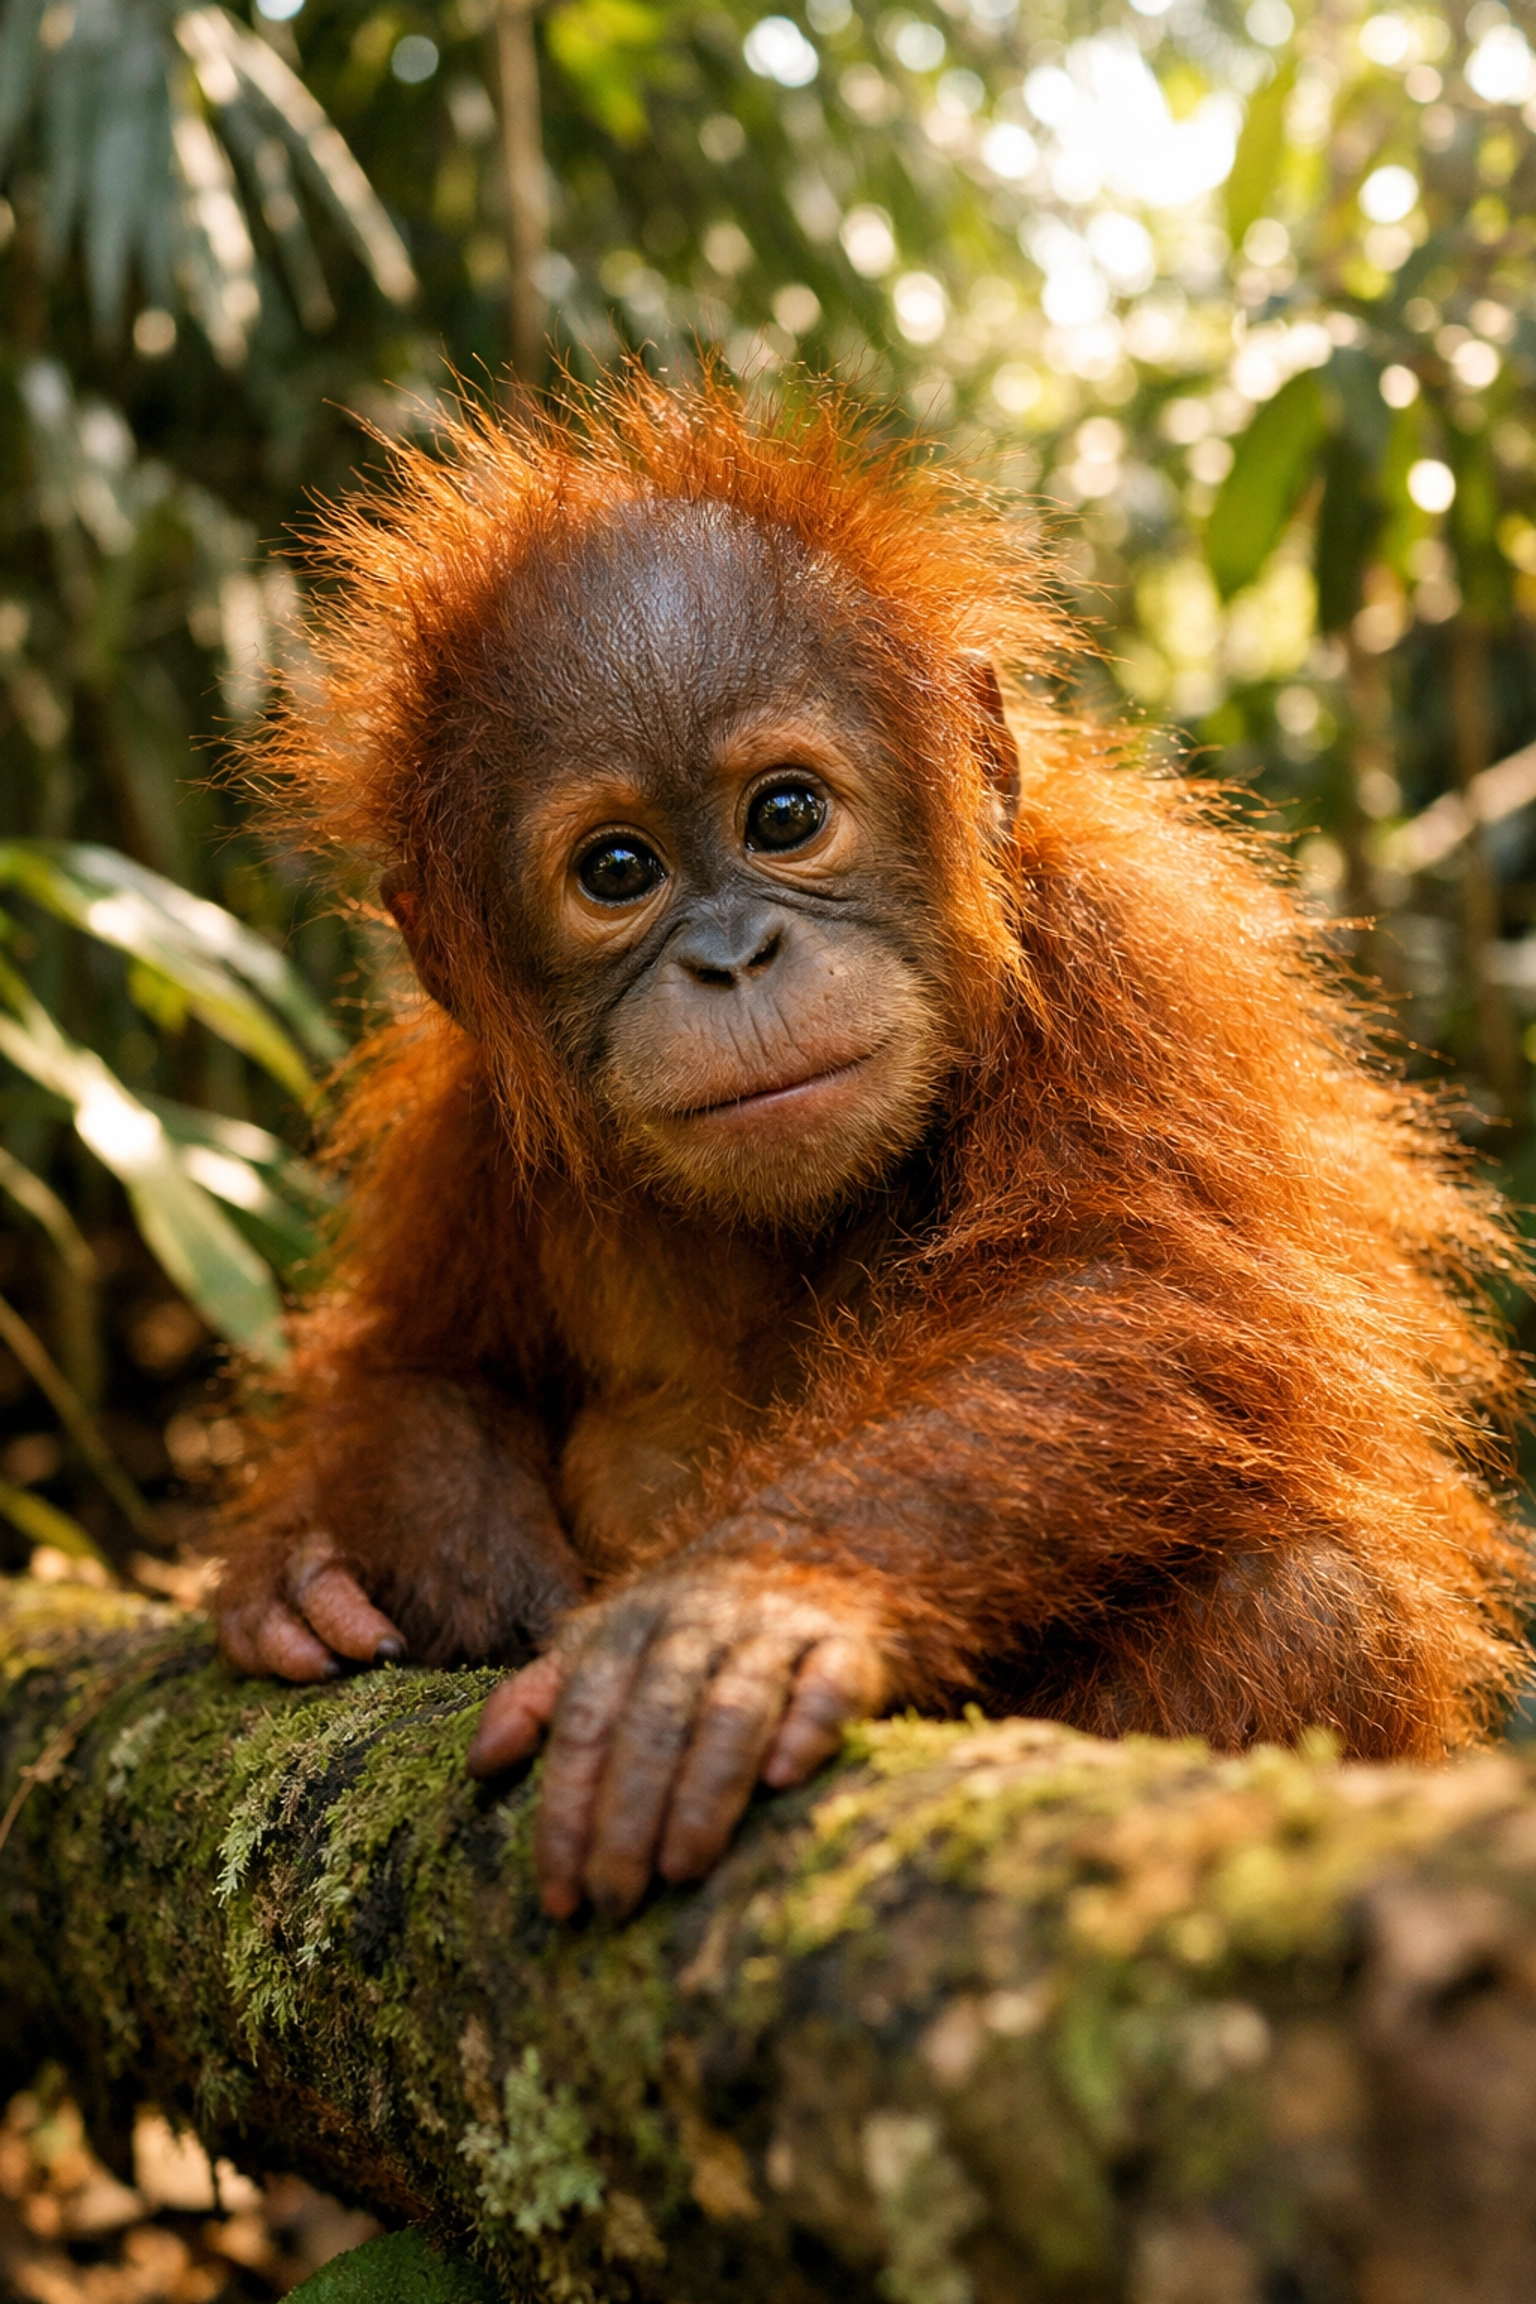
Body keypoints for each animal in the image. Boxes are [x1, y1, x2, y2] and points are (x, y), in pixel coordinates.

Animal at [214, 369, 1531, 1923]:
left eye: (785, 814)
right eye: (617, 870)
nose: (734, 957)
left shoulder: (1122, 951)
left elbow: (1129, 1291)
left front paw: (730, 1617)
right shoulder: (477, 1115)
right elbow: (419, 1360)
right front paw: (376, 1568)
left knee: (1320, 1609)